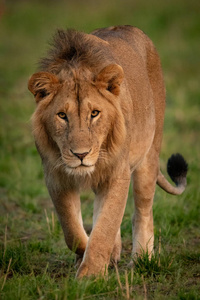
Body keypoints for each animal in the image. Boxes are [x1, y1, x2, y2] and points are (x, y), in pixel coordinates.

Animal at [28, 25, 188, 278]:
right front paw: (90, 256)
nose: (80, 155)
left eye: (95, 113)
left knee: (142, 211)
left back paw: (141, 259)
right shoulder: (55, 177)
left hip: (149, 155)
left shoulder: (117, 174)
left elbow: (105, 228)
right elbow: (73, 230)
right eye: (62, 115)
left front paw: (90, 275)